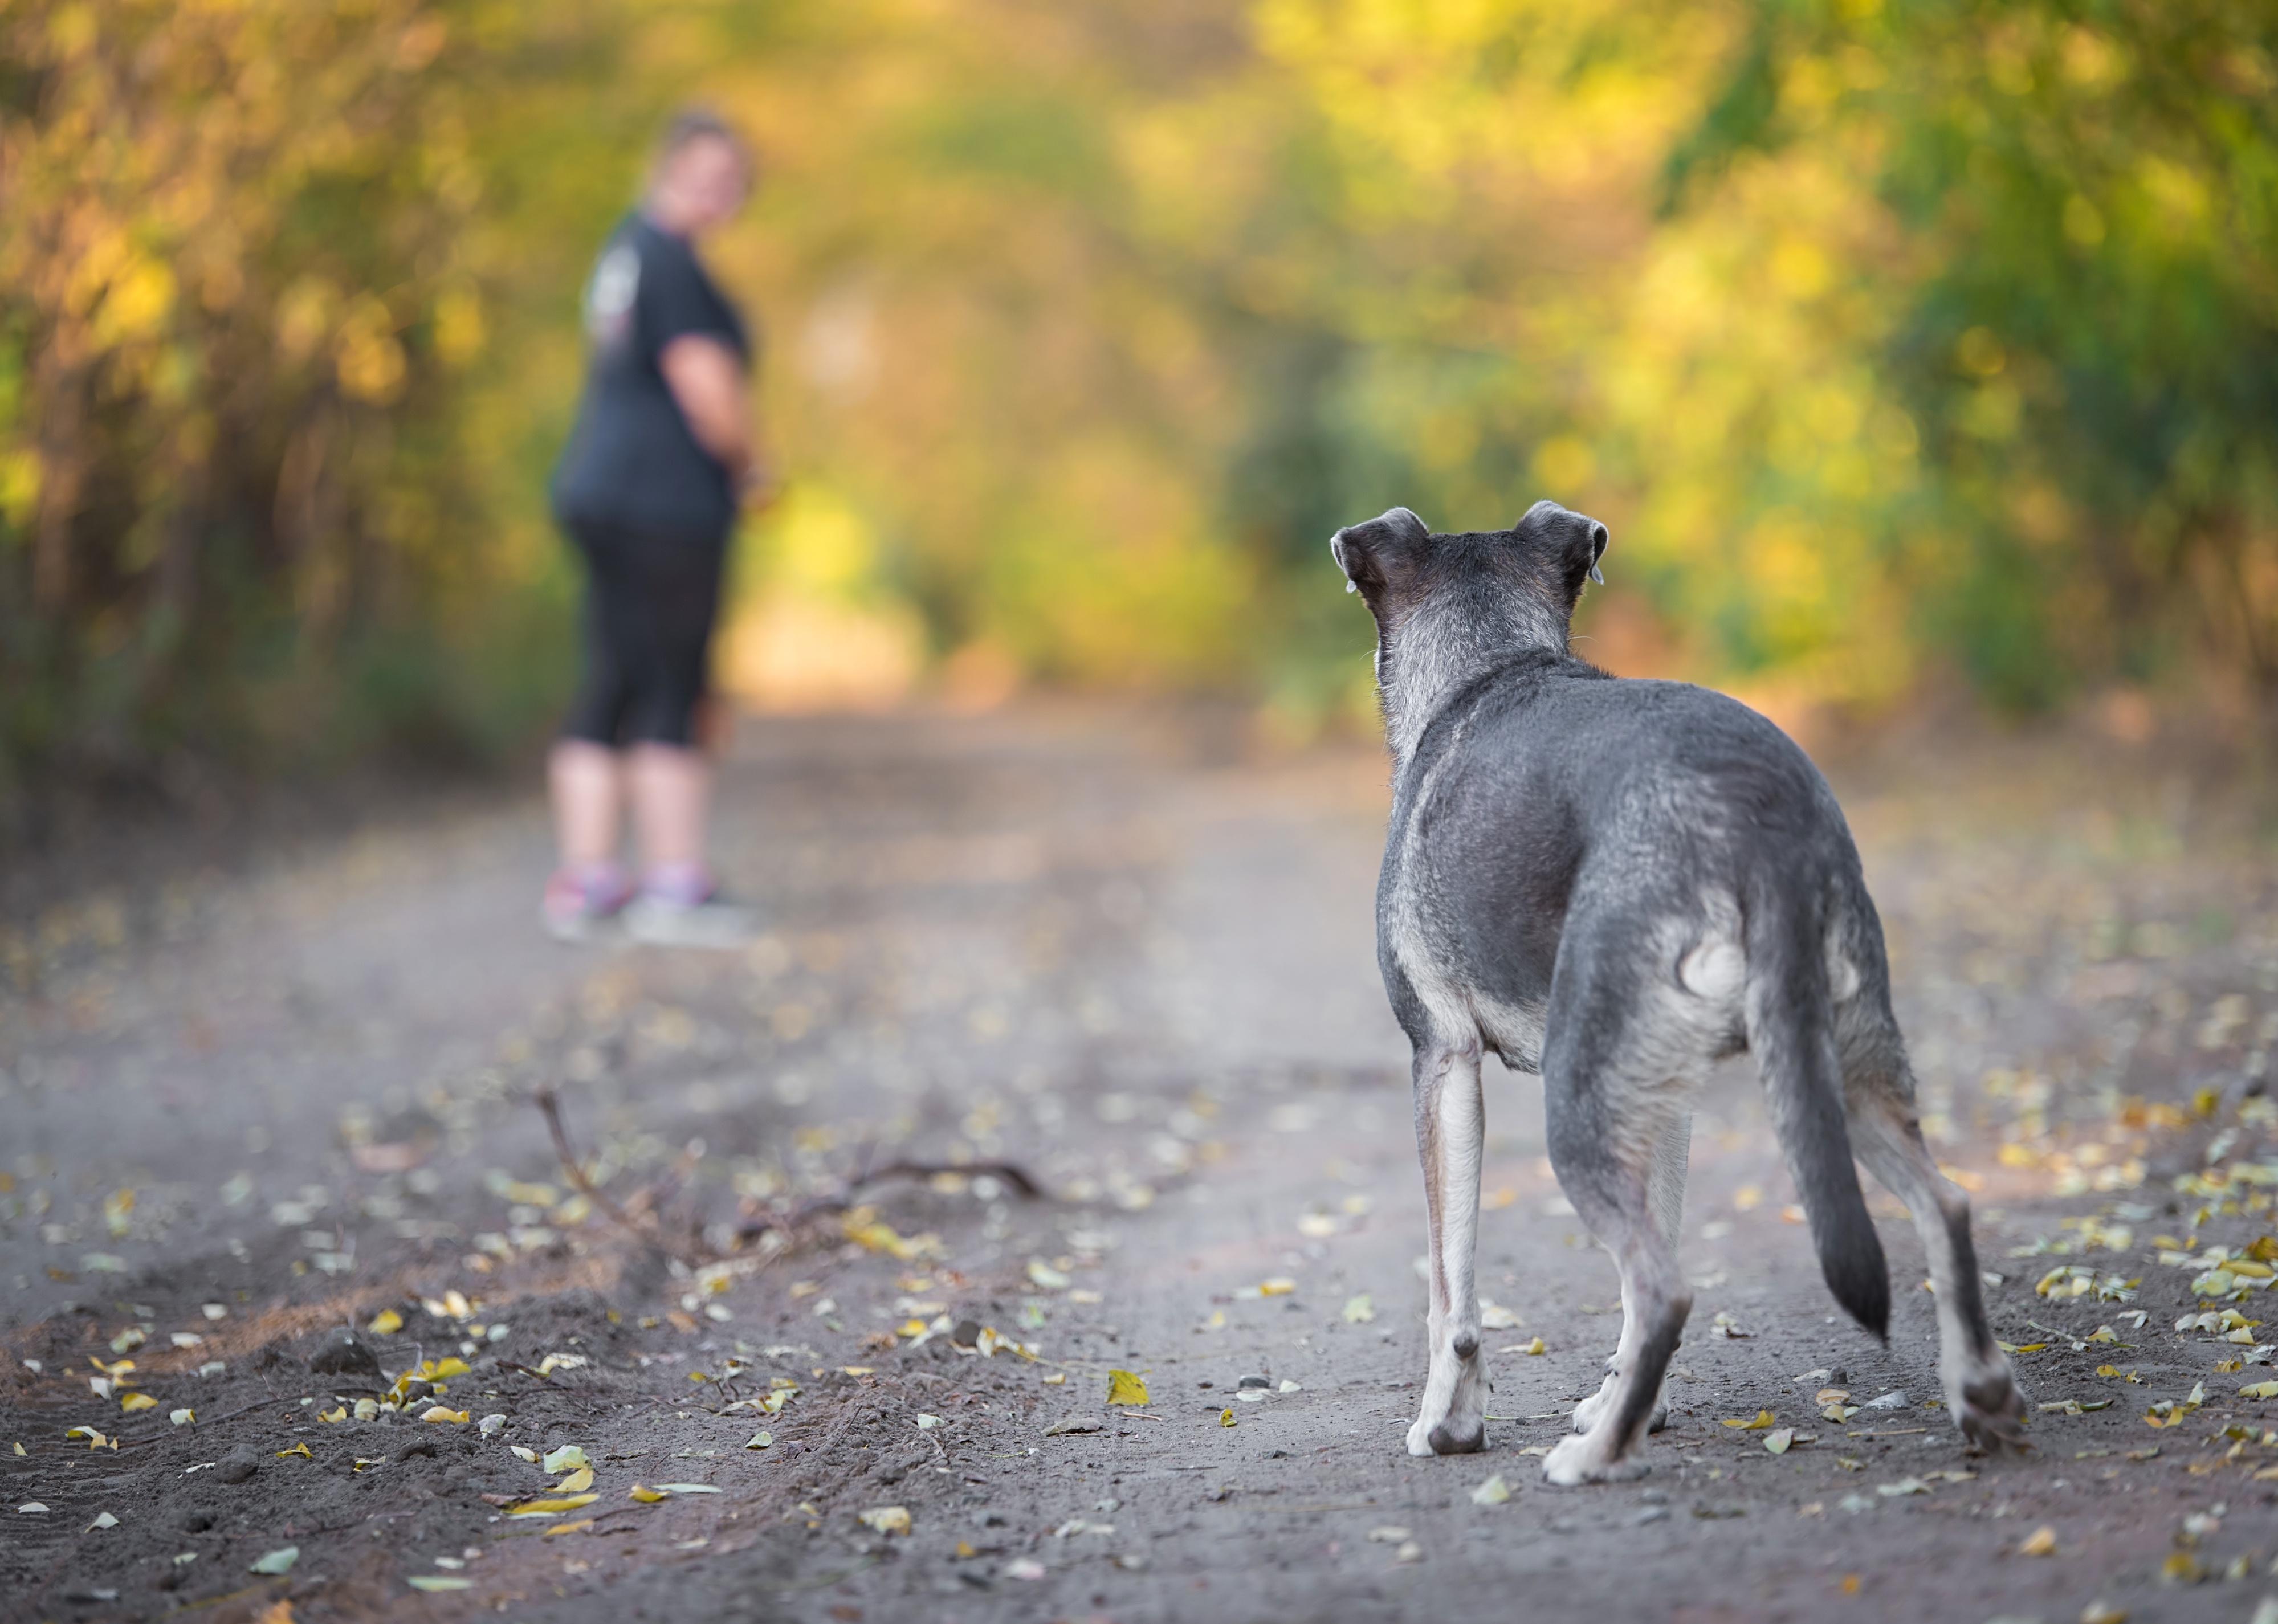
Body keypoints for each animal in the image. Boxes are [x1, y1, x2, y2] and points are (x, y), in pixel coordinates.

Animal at [1330, 503, 2032, 1485]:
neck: (1488, 666)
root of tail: (1757, 820)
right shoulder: (1666, 1095)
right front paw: (1631, 1401)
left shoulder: (1442, 1059)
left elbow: (1451, 1286)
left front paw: (1451, 1422)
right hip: (1830, 1069)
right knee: (1946, 1204)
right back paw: (1981, 1393)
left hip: (1580, 1104)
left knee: (1665, 1285)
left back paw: (1592, 1457)